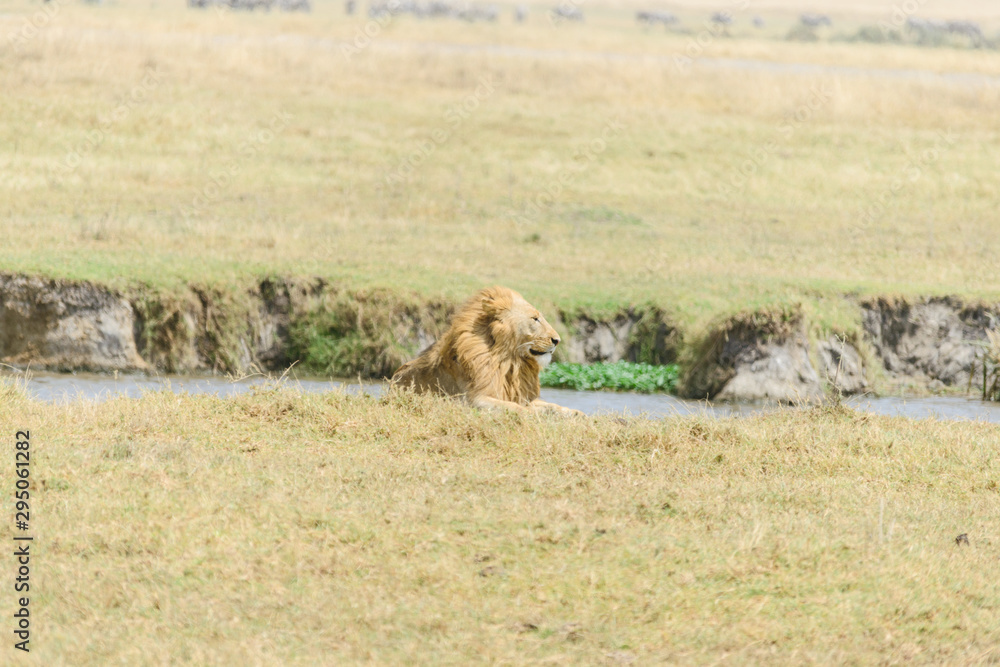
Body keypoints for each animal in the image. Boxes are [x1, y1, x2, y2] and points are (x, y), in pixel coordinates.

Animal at [391, 286, 583, 415]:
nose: (557, 341)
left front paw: (575, 413)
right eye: (535, 319)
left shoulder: (522, 396)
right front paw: (532, 414)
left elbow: (552, 406)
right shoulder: (471, 399)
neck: (510, 362)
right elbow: (515, 408)